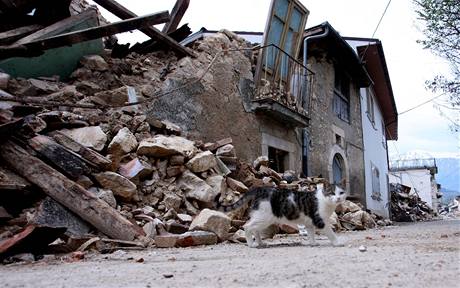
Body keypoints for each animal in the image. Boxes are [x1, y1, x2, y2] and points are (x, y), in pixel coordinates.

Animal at [216, 178, 348, 248]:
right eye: (332, 193)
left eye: (341, 193)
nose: (338, 198)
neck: (325, 201)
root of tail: (259, 189)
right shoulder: (319, 221)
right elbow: (331, 233)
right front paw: (337, 243)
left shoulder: (309, 223)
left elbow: (311, 234)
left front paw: (313, 243)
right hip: (264, 217)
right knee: (247, 226)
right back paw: (251, 244)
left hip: (261, 217)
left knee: (255, 229)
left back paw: (261, 243)